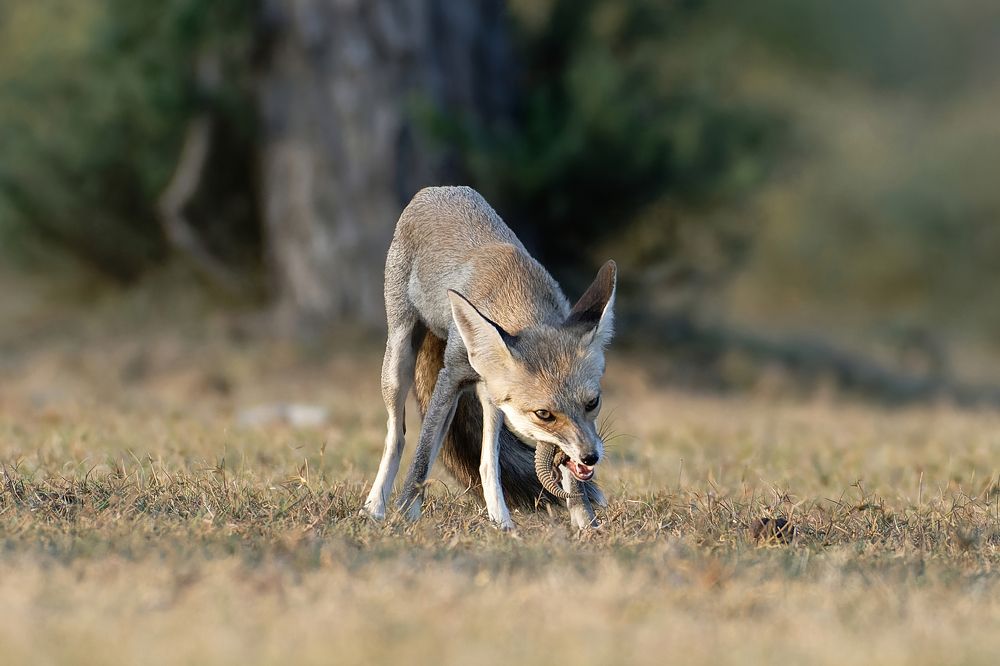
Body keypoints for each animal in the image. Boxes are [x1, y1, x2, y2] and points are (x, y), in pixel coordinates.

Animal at [362, 186, 616, 530]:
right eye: (543, 414)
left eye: (592, 403)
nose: (591, 457)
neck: (515, 294)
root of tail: (437, 190)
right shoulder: (451, 377)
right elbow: (423, 455)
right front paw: (404, 513)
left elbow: (565, 475)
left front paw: (586, 524)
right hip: (398, 360)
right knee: (397, 437)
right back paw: (376, 505)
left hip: (490, 397)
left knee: (487, 463)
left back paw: (501, 520)